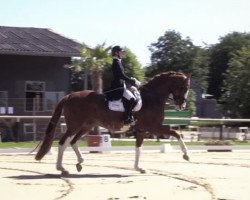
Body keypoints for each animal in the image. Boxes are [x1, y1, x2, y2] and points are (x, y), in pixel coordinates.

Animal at [35, 71, 190, 174]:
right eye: (183, 87)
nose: (182, 105)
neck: (152, 96)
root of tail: (69, 96)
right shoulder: (154, 127)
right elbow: (176, 133)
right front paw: (186, 155)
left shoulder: (141, 130)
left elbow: (138, 148)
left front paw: (138, 168)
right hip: (75, 125)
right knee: (63, 142)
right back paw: (62, 168)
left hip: (86, 125)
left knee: (72, 142)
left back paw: (79, 162)